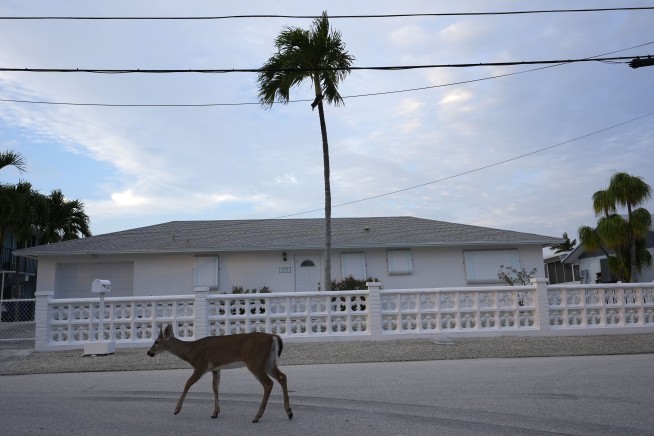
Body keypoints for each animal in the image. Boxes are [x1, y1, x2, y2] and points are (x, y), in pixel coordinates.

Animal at [147, 325, 293, 423]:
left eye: (156, 341)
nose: (149, 352)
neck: (190, 352)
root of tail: (273, 337)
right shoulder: (216, 369)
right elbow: (215, 387)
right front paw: (215, 412)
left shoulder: (201, 366)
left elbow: (187, 383)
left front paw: (177, 409)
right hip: (268, 362)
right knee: (282, 376)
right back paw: (289, 412)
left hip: (255, 362)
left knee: (268, 383)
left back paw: (257, 416)